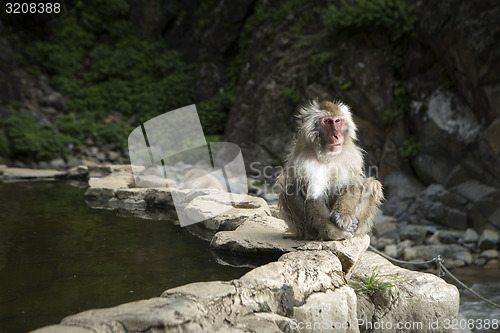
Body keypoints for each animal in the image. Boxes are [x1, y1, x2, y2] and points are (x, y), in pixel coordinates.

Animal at [276, 100, 384, 240]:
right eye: (327, 121)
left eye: (337, 121)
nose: (336, 135)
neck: (328, 155)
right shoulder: (305, 160)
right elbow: (314, 197)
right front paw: (335, 232)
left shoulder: (351, 154)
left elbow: (352, 185)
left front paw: (342, 215)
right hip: (299, 228)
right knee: (287, 183)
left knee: (372, 184)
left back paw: (355, 225)